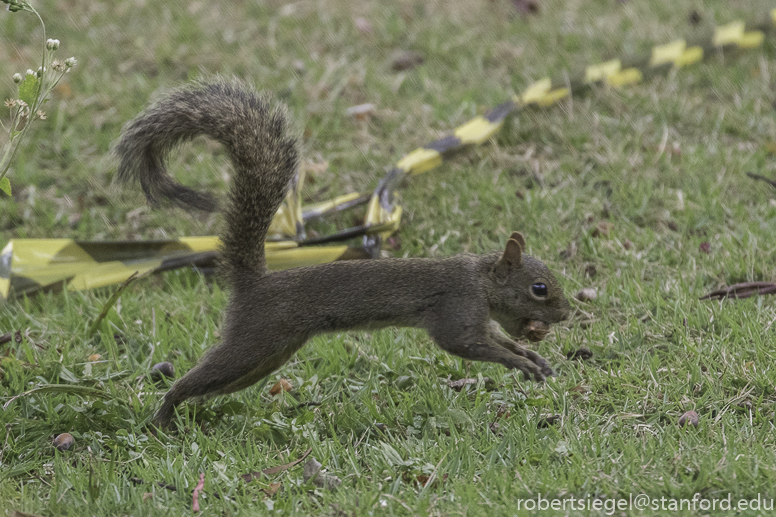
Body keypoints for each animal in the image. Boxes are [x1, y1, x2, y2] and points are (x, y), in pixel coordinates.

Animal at [118, 80, 572, 428]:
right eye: (539, 288)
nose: (566, 315)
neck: (481, 279)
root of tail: (254, 280)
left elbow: (498, 339)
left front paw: (531, 356)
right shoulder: (457, 306)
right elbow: (468, 344)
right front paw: (521, 364)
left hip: (268, 356)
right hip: (254, 340)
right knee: (195, 379)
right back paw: (164, 414)